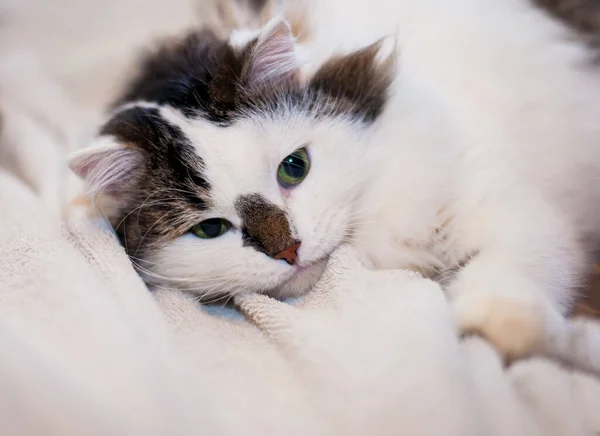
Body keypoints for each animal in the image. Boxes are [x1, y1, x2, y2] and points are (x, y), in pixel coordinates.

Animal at [68, 0, 600, 362]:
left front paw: (492, 328)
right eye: (210, 229)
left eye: (294, 167)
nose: (289, 250)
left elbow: (512, 271)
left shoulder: (503, 201)